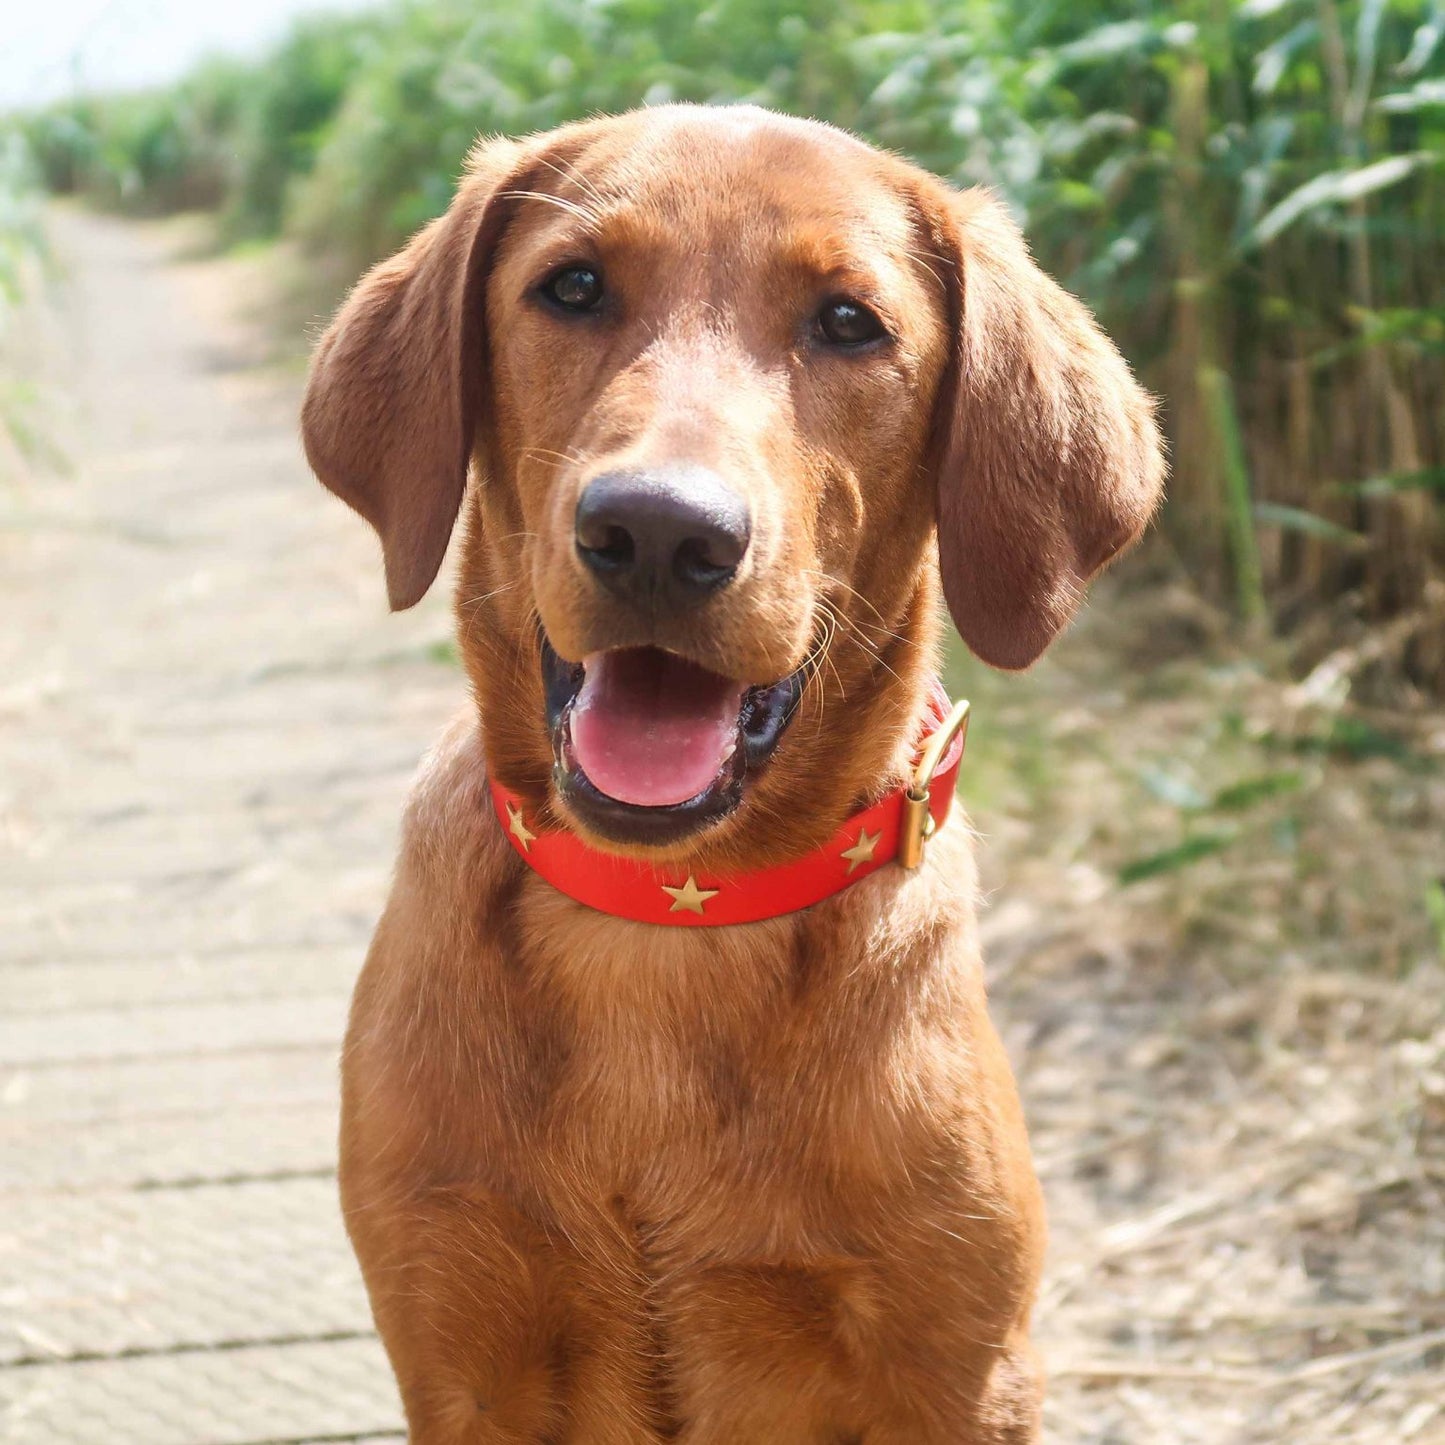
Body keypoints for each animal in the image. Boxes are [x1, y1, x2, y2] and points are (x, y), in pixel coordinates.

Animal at [304, 104, 1161, 1445]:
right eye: (573, 287)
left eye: (849, 321)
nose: (659, 532)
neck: (665, 928)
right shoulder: (457, 1344)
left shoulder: (955, 1371)